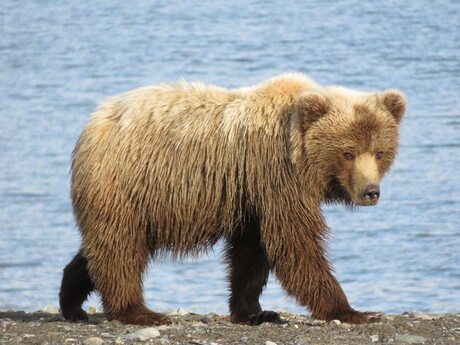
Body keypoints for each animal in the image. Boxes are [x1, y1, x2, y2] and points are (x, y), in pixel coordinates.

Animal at [58, 72, 406, 326]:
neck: (298, 155)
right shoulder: (276, 176)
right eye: (347, 153)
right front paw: (354, 311)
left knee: (101, 246)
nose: (370, 191)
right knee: (120, 247)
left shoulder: (253, 196)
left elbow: (252, 253)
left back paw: (71, 303)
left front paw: (255, 311)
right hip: (128, 183)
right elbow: (295, 242)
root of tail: (94, 120)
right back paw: (139, 312)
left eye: (379, 151)